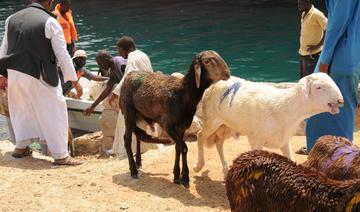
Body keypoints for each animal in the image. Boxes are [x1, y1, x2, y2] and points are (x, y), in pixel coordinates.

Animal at [119, 50, 229, 188]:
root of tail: (129, 75)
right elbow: (184, 148)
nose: (227, 73)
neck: (183, 94)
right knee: (127, 139)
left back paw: (137, 162)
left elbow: (178, 148)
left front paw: (177, 176)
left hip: (139, 115)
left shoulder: (182, 126)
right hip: (128, 111)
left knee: (138, 135)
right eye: (207, 61)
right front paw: (185, 178)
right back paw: (133, 170)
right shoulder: (168, 125)